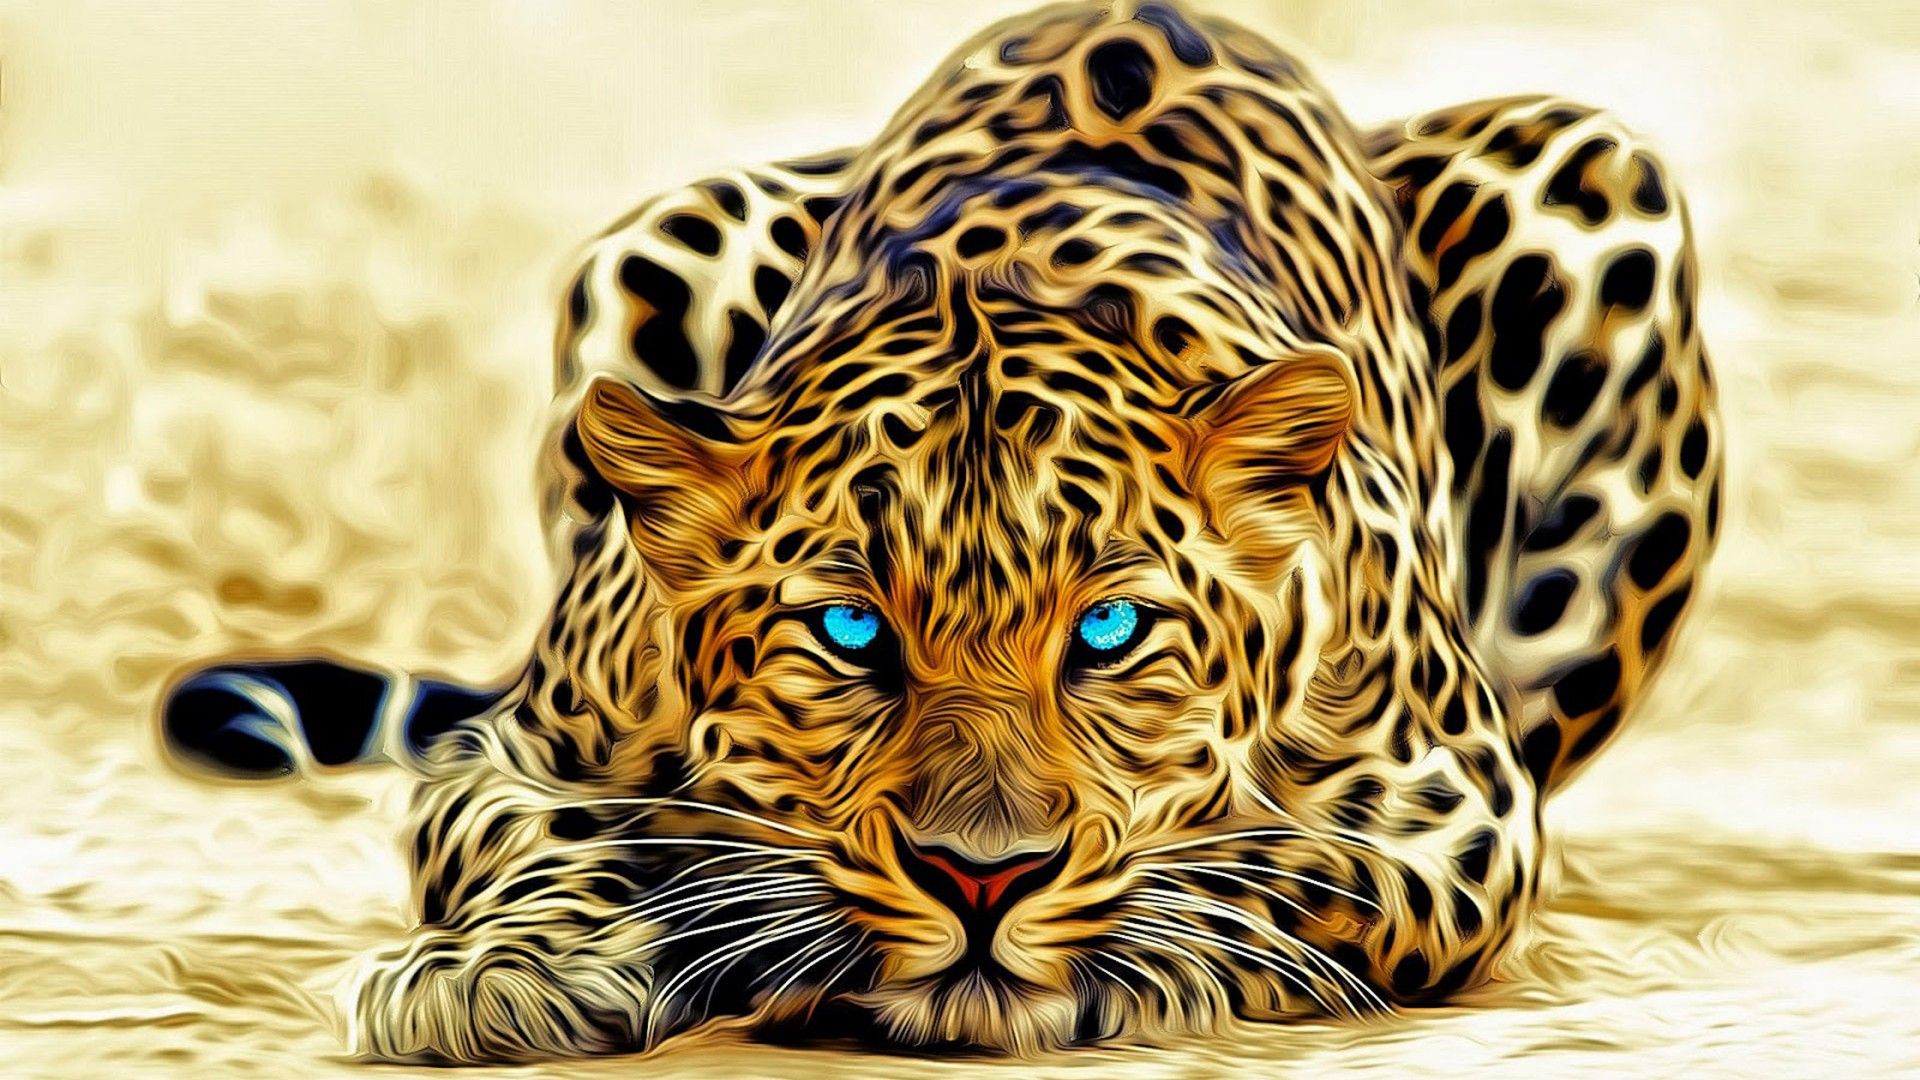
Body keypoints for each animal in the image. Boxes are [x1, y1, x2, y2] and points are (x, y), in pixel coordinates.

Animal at [161, 0, 1721, 1061]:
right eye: (850, 631)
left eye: (1110, 630)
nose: (982, 878)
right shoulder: (523, 746)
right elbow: (537, 836)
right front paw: (506, 970)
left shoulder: (1457, 800)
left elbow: (1287, 870)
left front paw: (1136, 953)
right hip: (662, 232)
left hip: (1595, 178)